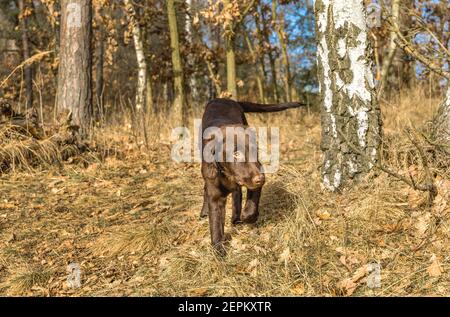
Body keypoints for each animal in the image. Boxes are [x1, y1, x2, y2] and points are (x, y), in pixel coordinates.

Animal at [201, 98, 304, 254]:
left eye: (255, 150)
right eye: (236, 154)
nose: (260, 178)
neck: (228, 176)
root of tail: (224, 99)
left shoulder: (255, 181)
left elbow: (250, 208)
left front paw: (247, 218)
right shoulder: (215, 194)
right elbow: (215, 222)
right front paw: (218, 249)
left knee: (237, 194)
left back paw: (236, 218)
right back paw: (205, 211)